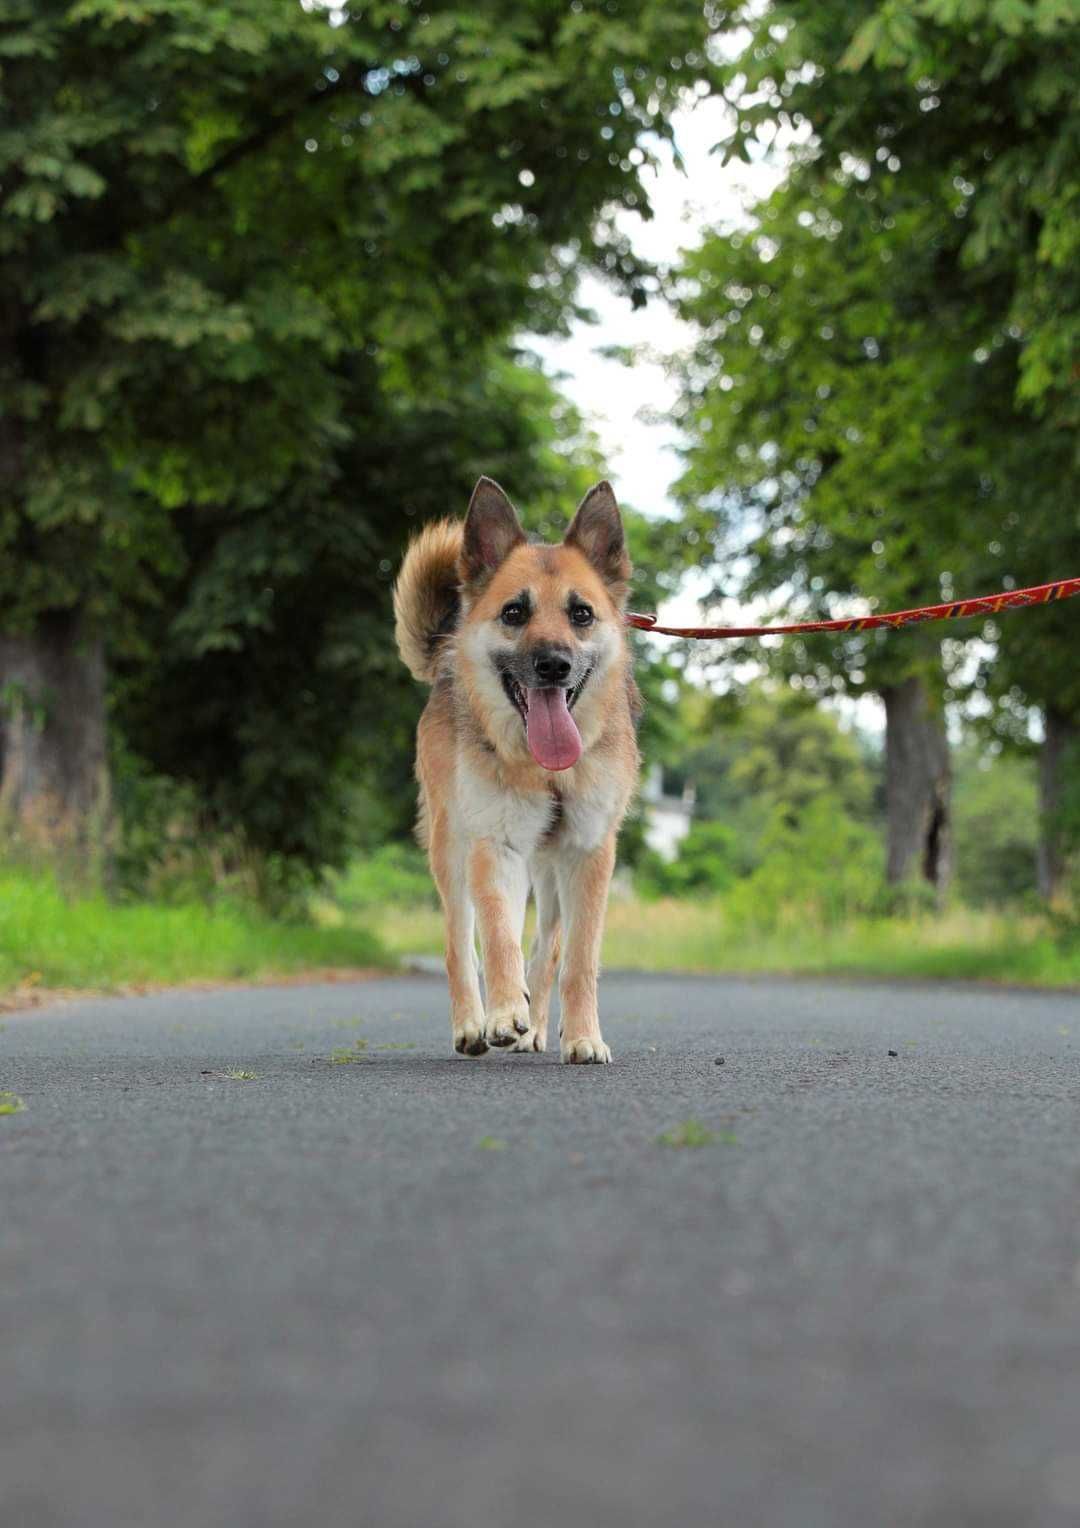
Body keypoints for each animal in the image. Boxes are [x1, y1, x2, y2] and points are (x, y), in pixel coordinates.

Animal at [394, 476, 638, 1063]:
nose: (553, 665)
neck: (546, 770)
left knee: (546, 947)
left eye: (581, 614)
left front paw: (583, 1036)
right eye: (513, 613)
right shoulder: (494, 846)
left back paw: (537, 1027)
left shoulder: (589, 857)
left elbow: (577, 961)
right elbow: (498, 938)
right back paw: (474, 1024)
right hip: (450, 851)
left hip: (549, 875)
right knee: (461, 944)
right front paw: (505, 1012)